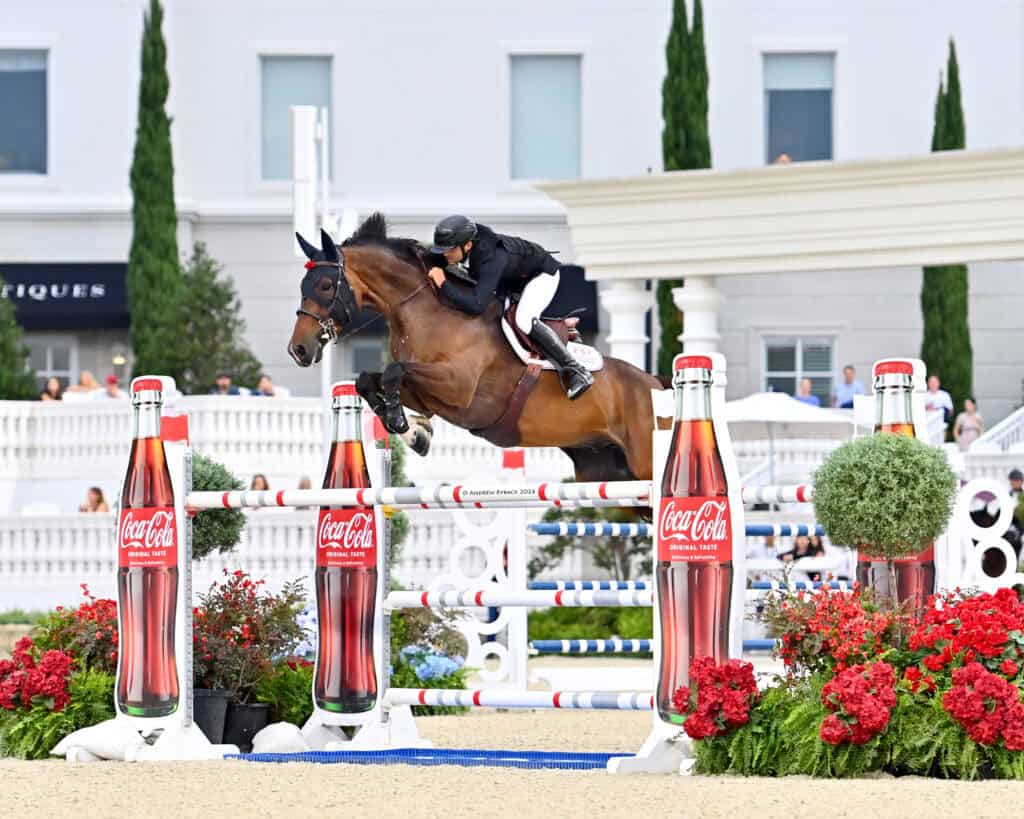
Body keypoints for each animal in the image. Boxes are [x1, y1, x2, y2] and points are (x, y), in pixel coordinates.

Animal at [287, 214, 663, 481]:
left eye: (325, 285)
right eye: (302, 284)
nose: (298, 350)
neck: (428, 311)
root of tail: (655, 383)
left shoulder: (458, 388)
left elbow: (394, 371)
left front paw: (406, 426)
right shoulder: (428, 395)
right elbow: (368, 379)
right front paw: (413, 432)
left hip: (643, 464)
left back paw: (578, 378)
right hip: (603, 468)